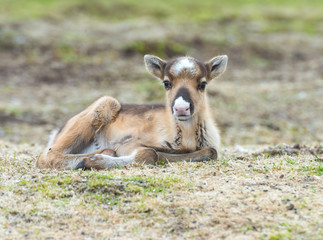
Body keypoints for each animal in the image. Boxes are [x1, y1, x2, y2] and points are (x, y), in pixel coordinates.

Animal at [36, 54, 229, 171]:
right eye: (166, 82)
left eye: (202, 84)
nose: (181, 108)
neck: (187, 139)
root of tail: (56, 132)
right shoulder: (128, 145)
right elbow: (149, 153)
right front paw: (95, 160)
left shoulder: (209, 147)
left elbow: (212, 151)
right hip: (105, 104)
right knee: (47, 155)